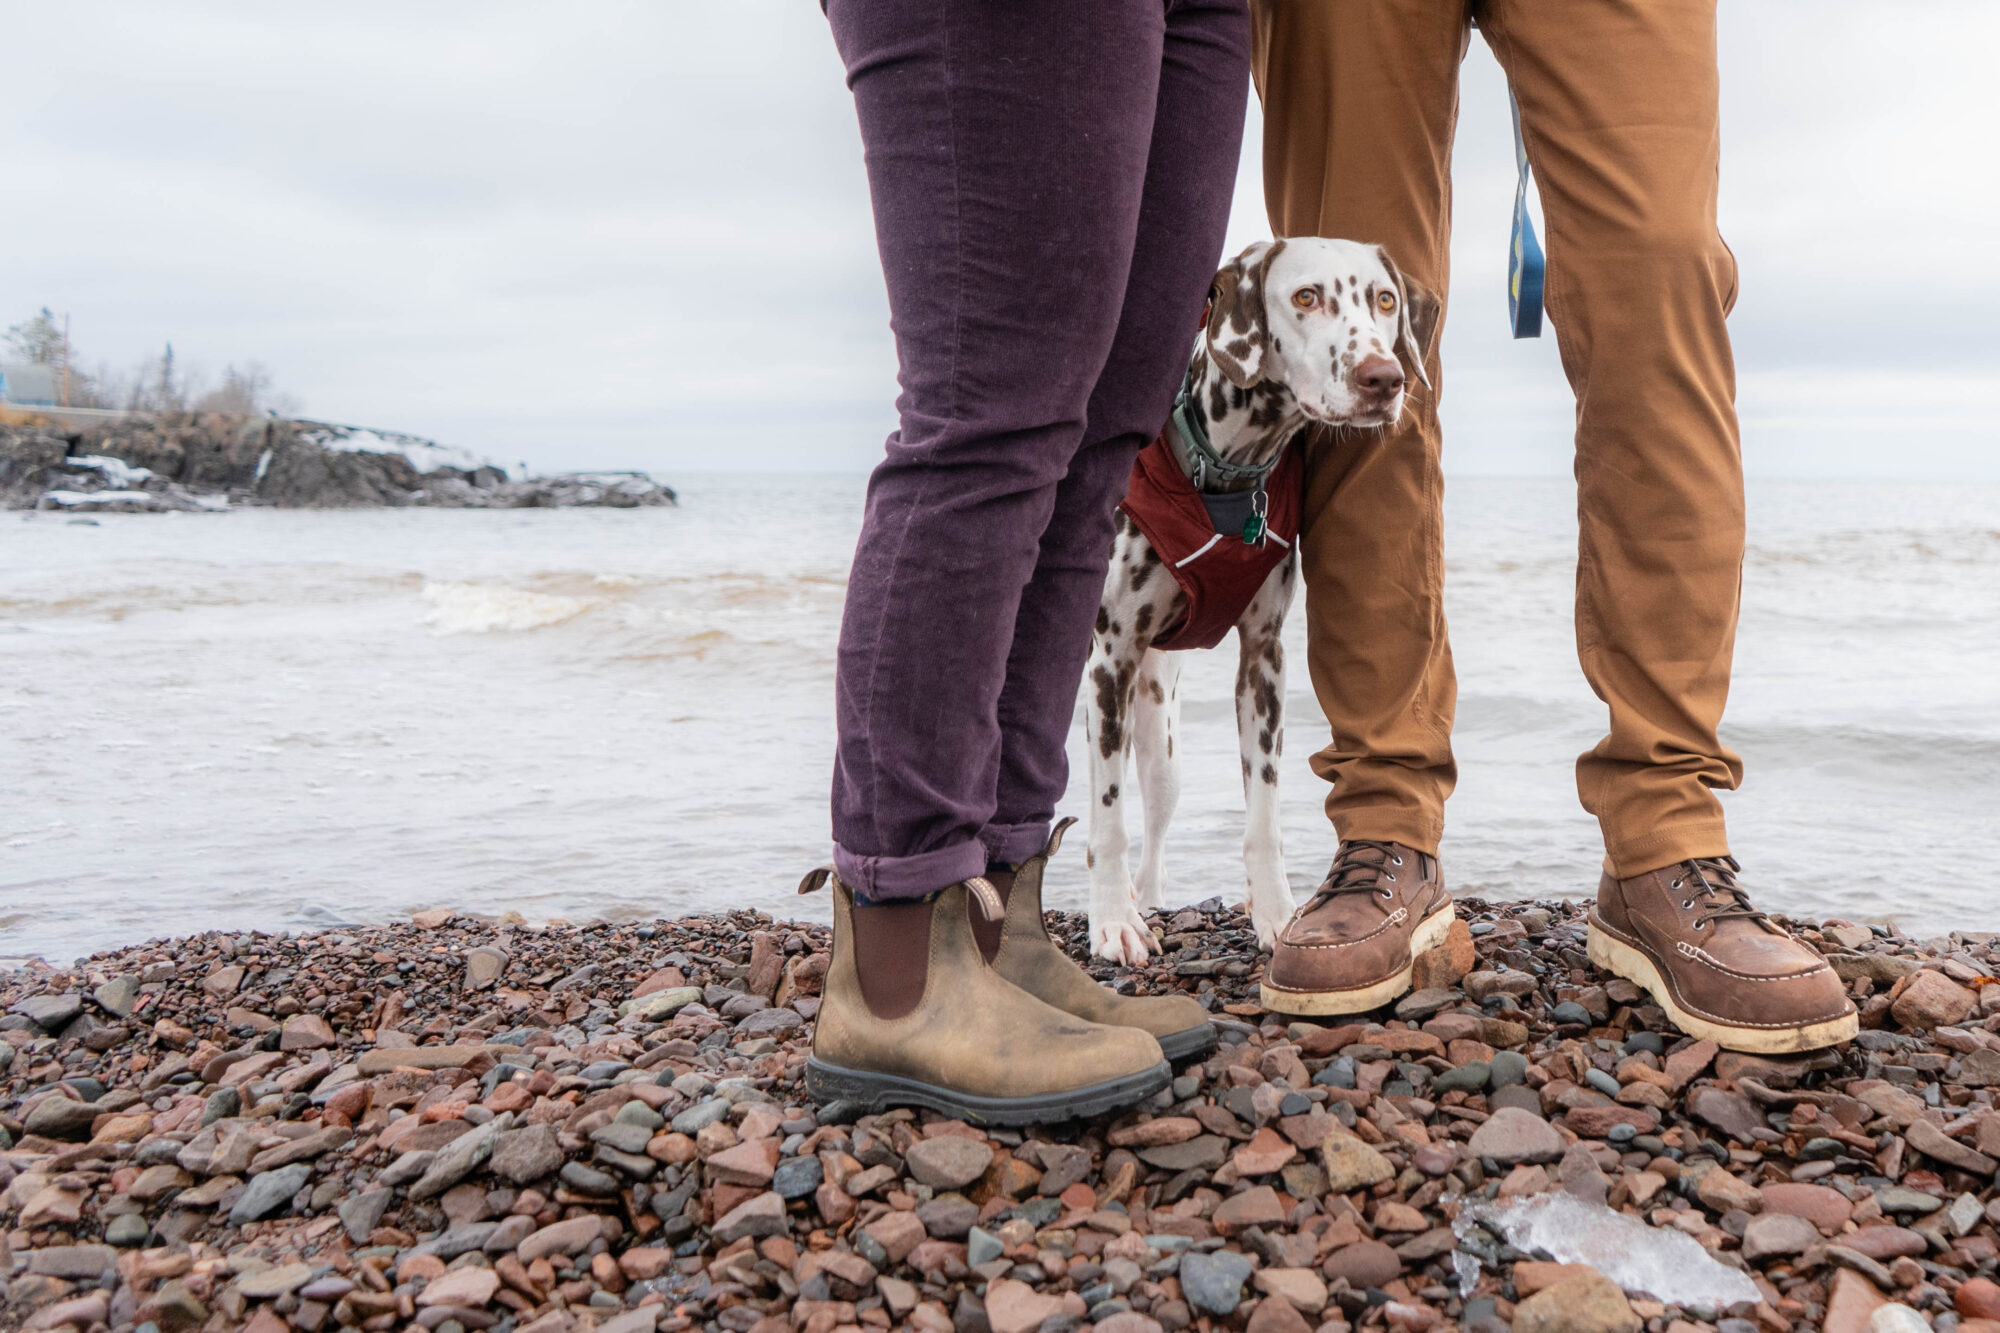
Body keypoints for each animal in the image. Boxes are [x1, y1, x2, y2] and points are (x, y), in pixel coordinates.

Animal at [1080, 239, 1440, 960]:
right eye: (1305, 297)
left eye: (1385, 300)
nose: (1383, 378)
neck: (1225, 466)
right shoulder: (1111, 659)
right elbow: (1107, 816)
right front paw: (1110, 922)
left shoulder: (1264, 661)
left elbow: (1264, 811)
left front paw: (1275, 913)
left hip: (1159, 734)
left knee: (1156, 818)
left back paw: (1147, 897)